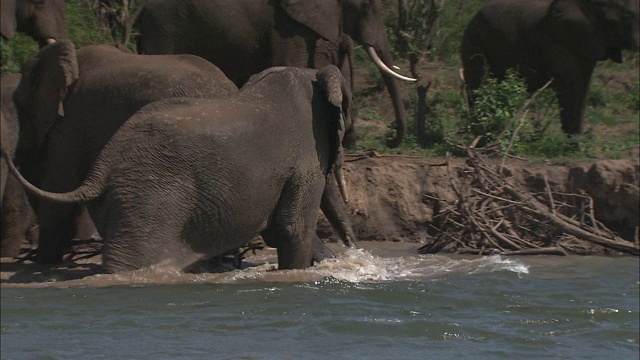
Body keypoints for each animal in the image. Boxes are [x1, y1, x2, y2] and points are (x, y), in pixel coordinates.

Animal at [5, 64, 352, 272]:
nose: (351, 248)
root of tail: (102, 166)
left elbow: (282, 229)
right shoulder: (304, 160)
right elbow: (294, 229)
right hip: (148, 200)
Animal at [462, 0, 636, 135]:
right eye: (625, 19)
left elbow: (583, 86)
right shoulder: (558, 41)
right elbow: (571, 86)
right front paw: (573, 144)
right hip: (475, 43)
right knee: (477, 85)